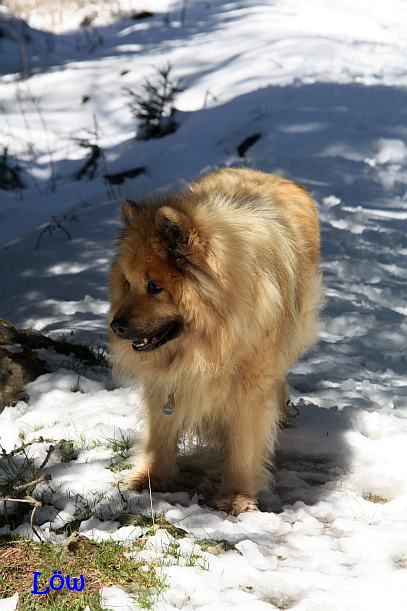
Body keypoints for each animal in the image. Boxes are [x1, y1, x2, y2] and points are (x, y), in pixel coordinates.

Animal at [108, 167, 322, 516]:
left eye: (155, 287)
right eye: (128, 283)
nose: (116, 326)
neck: (207, 341)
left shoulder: (249, 387)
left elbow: (243, 444)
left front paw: (235, 495)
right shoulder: (165, 382)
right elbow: (160, 432)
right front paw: (152, 477)